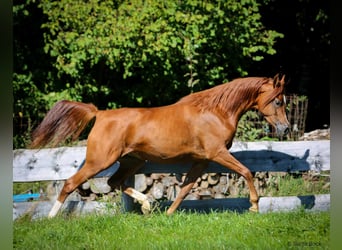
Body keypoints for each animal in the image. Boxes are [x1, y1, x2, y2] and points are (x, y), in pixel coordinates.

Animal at [30, 73, 290, 217]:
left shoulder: (203, 160)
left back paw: (147, 205)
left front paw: (168, 212)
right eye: (278, 101)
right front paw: (254, 207)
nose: (285, 129)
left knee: (115, 182)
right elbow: (246, 171)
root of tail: (100, 113)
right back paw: (51, 219)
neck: (215, 112)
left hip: (132, 160)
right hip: (99, 161)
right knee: (70, 183)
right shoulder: (217, 153)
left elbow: (185, 188)